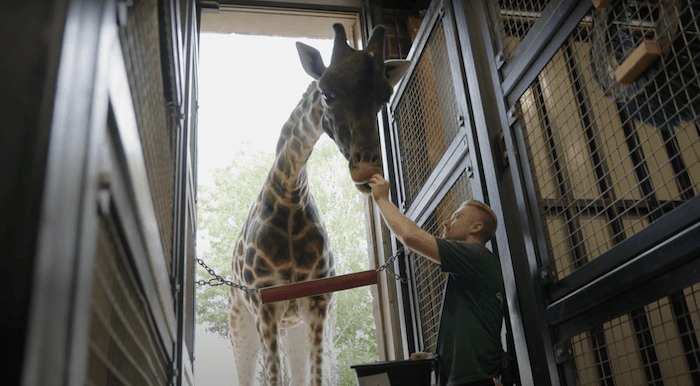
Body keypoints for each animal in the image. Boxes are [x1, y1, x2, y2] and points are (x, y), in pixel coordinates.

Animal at [224, 22, 410, 384]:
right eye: (327, 93)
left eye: (383, 97)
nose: (367, 170)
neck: (290, 198)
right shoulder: (266, 306)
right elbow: (273, 379)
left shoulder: (319, 304)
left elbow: (317, 377)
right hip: (242, 325)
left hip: (293, 328)